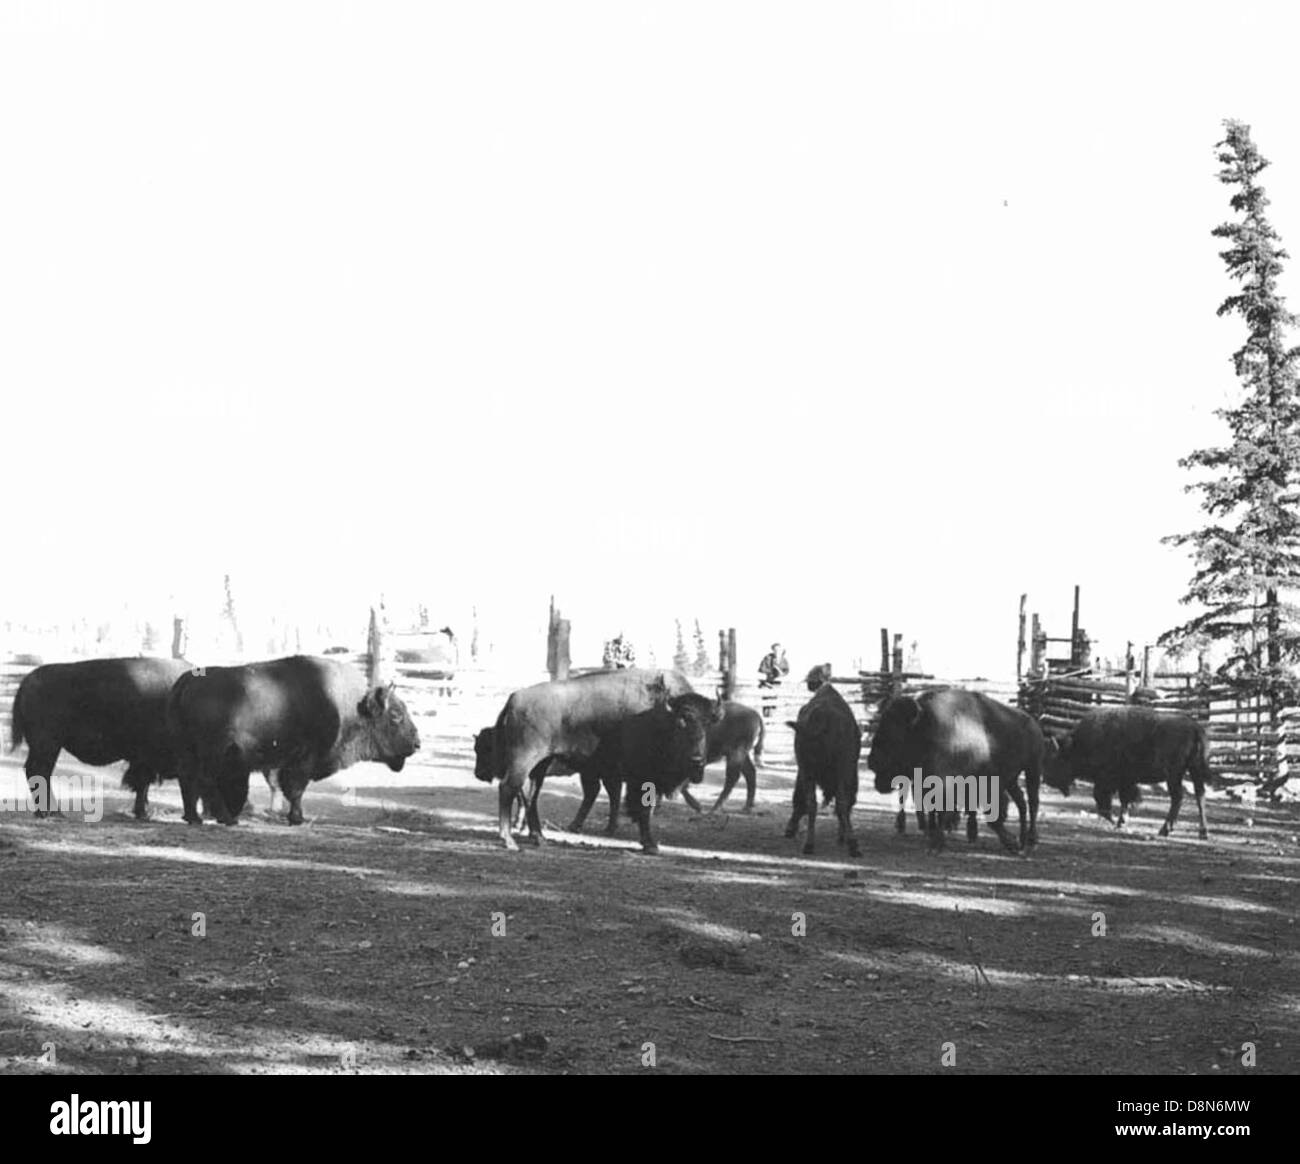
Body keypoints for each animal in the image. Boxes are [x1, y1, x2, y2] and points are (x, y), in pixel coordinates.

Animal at [8, 655, 192, 821]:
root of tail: (27, 681)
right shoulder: (145, 759)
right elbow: (142, 783)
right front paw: (142, 813)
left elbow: (143, 786)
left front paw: (142, 812)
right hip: (48, 745)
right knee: (40, 771)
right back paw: (51, 813)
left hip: (45, 746)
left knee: (37, 771)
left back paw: (48, 812)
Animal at [167, 655, 418, 827]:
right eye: (396, 714)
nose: (417, 743)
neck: (350, 706)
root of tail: (187, 681)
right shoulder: (303, 760)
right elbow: (295, 790)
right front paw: (297, 818)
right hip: (212, 754)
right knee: (205, 781)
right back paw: (227, 819)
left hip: (189, 752)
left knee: (188, 779)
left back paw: (194, 818)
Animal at [868, 686, 1040, 853]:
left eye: (893, 733)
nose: (872, 762)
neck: (924, 726)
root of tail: (1032, 721)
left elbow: (988, 815)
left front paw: (936, 844)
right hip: (1011, 779)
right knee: (1021, 801)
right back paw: (1023, 840)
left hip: (1032, 769)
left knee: (1032, 802)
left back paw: (1030, 841)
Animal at [1040, 707, 1211, 842]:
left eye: (1054, 759)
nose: (1045, 779)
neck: (1078, 744)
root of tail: (1195, 728)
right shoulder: (1126, 780)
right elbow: (1124, 800)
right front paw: (1121, 821)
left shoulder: (1109, 779)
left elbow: (1103, 798)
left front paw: (1115, 820)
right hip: (1195, 770)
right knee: (1200, 795)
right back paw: (1202, 832)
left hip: (1174, 774)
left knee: (1178, 797)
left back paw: (1165, 830)